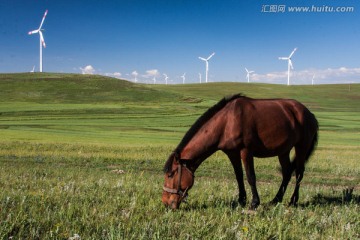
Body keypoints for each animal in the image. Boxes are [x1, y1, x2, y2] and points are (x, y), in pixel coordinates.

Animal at [162, 94, 318, 210]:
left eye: (171, 174)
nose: (165, 202)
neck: (226, 122)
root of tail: (309, 113)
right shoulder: (232, 153)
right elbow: (238, 176)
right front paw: (241, 200)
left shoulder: (246, 151)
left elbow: (250, 177)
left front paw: (254, 203)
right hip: (283, 151)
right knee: (286, 173)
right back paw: (276, 200)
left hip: (301, 147)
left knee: (299, 173)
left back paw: (293, 201)